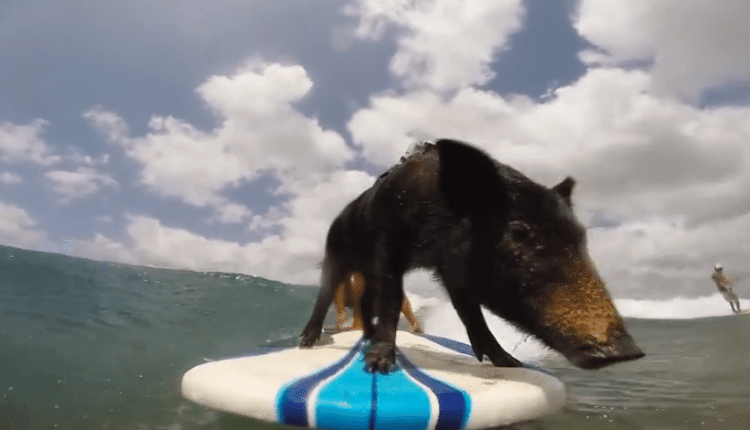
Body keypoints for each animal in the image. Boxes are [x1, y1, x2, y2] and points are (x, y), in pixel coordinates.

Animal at [299, 139, 644, 373]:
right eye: (518, 232)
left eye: (581, 237)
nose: (628, 352)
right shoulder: (390, 245)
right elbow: (393, 299)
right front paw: (379, 367)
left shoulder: (452, 268)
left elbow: (471, 313)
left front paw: (511, 364)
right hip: (334, 256)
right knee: (326, 293)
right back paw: (308, 341)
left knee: (366, 298)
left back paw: (366, 335)